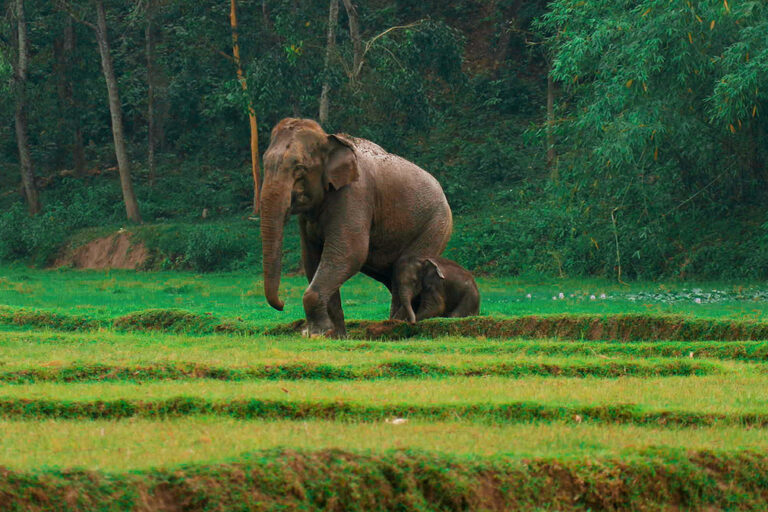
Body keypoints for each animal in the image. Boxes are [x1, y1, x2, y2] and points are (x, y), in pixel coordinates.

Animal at [260, 118, 452, 337]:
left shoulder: (355, 194)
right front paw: (335, 335)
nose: (282, 304)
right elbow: (312, 258)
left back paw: (395, 326)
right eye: (265, 164)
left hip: (435, 226)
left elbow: (349, 252)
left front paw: (317, 333)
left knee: (405, 269)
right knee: (393, 277)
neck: (328, 139)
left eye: (299, 167)